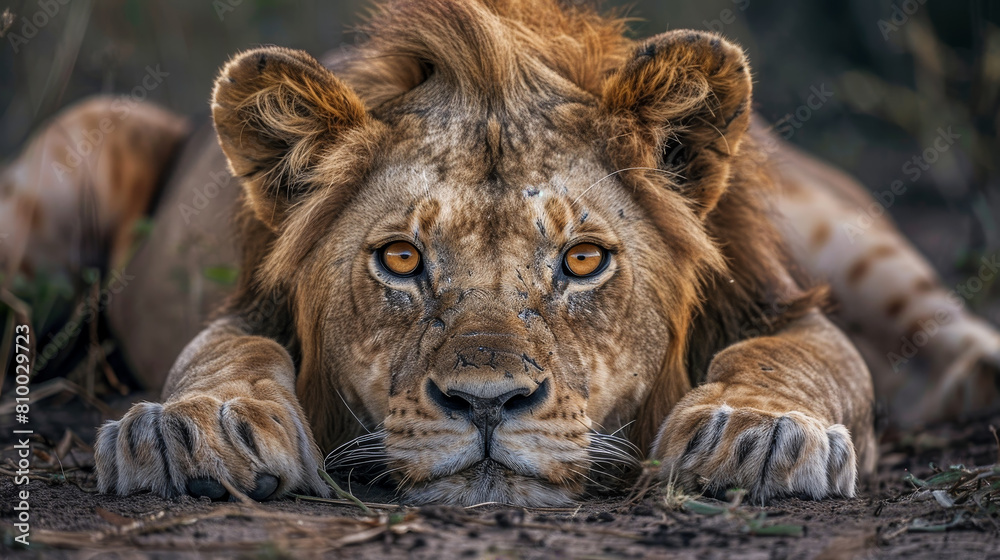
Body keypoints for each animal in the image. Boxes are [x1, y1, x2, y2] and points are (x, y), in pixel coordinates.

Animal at [3, 0, 999, 506]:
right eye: (402, 261)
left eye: (584, 262)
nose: (488, 406)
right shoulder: (246, 305)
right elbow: (222, 350)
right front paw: (194, 427)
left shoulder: (778, 304)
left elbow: (801, 360)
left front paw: (760, 434)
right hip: (79, 144)